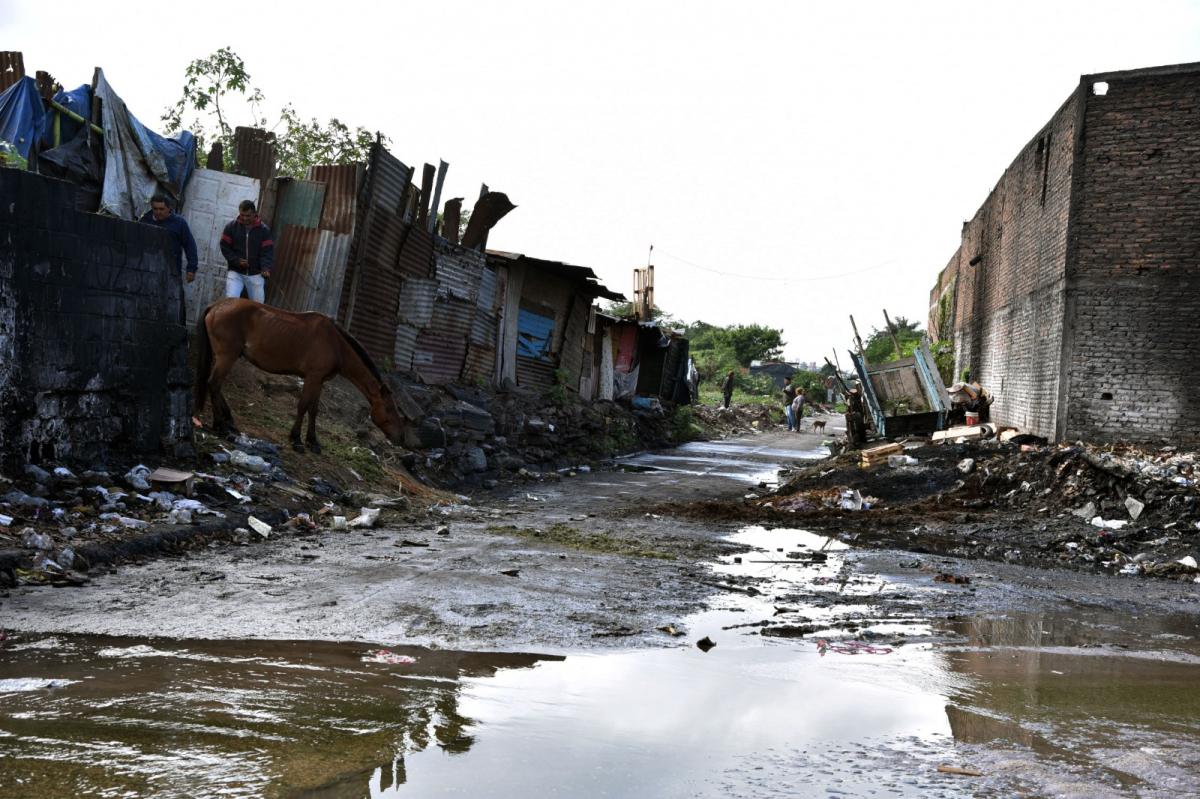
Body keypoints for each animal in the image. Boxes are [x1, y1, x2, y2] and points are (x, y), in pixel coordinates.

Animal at [193, 297, 408, 451]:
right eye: (389, 408)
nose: (401, 438)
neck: (336, 345)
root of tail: (216, 305)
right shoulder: (312, 377)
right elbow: (303, 405)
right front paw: (296, 439)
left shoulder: (319, 381)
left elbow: (314, 409)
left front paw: (313, 441)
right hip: (227, 356)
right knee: (214, 384)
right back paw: (220, 424)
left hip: (224, 357)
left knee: (215, 385)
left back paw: (228, 420)